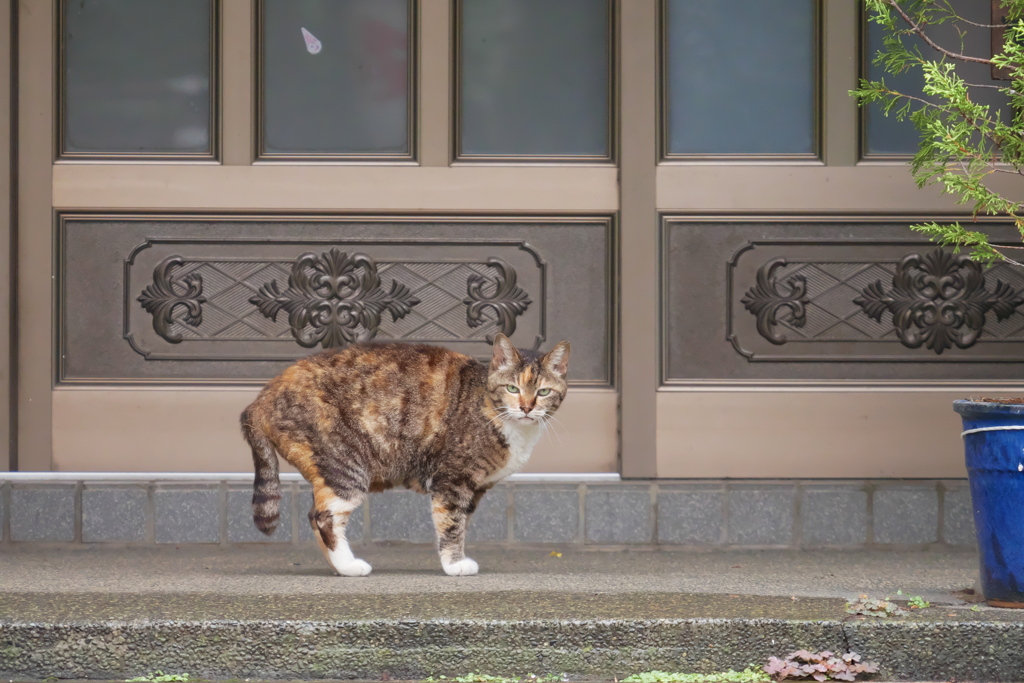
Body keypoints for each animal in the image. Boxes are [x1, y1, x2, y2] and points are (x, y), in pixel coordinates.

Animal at [239, 335, 569, 577]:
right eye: (512, 388)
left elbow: (461, 521)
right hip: (345, 466)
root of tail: (261, 398)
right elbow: (451, 523)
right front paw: (454, 564)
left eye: (543, 392)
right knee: (322, 517)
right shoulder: (452, 479)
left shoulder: (475, 488)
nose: (526, 407)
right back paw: (349, 566)